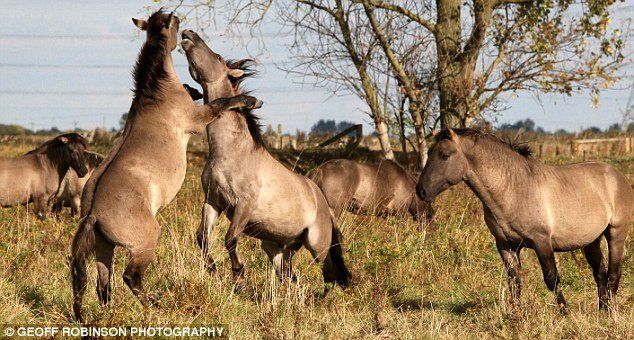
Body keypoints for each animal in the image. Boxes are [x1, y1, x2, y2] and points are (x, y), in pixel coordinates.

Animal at [70, 8, 262, 322]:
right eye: (174, 25)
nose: (188, 32)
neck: (155, 94)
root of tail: (93, 213)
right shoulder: (197, 119)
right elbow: (222, 101)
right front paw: (250, 100)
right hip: (144, 245)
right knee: (130, 277)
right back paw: (156, 305)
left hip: (104, 248)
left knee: (103, 285)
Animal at [180, 29, 350, 290]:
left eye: (217, 57)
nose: (188, 33)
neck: (230, 155)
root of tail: (324, 204)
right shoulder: (213, 201)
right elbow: (202, 237)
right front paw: (213, 269)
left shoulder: (243, 205)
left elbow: (230, 239)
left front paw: (239, 275)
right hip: (278, 246)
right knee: (290, 276)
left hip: (316, 244)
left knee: (329, 273)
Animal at [414, 128, 632, 310]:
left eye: (444, 156)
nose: (421, 191)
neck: (513, 189)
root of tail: (617, 175)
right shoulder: (506, 245)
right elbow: (514, 281)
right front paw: (515, 314)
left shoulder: (542, 242)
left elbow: (552, 279)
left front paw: (566, 312)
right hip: (591, 241)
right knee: (600, 274)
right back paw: (602, 311)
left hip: (615, 234)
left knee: (613, 274)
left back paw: (611, 313)